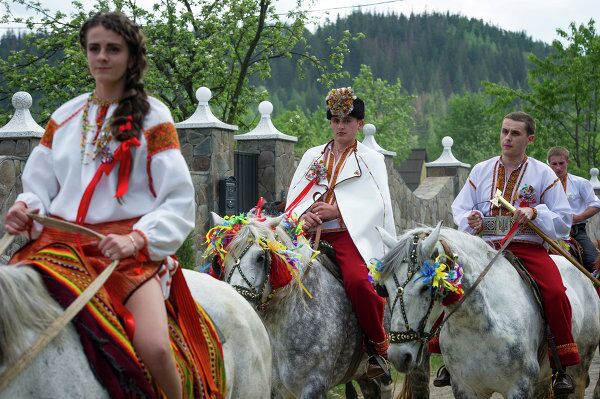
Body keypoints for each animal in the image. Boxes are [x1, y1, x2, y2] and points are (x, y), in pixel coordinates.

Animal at [376, 225, 600, 399]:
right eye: (384, 288)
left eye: (426, 287)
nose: (399, 356)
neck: (476, 325)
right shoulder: (465, 389)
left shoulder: (519, 387)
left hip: (579, 367)